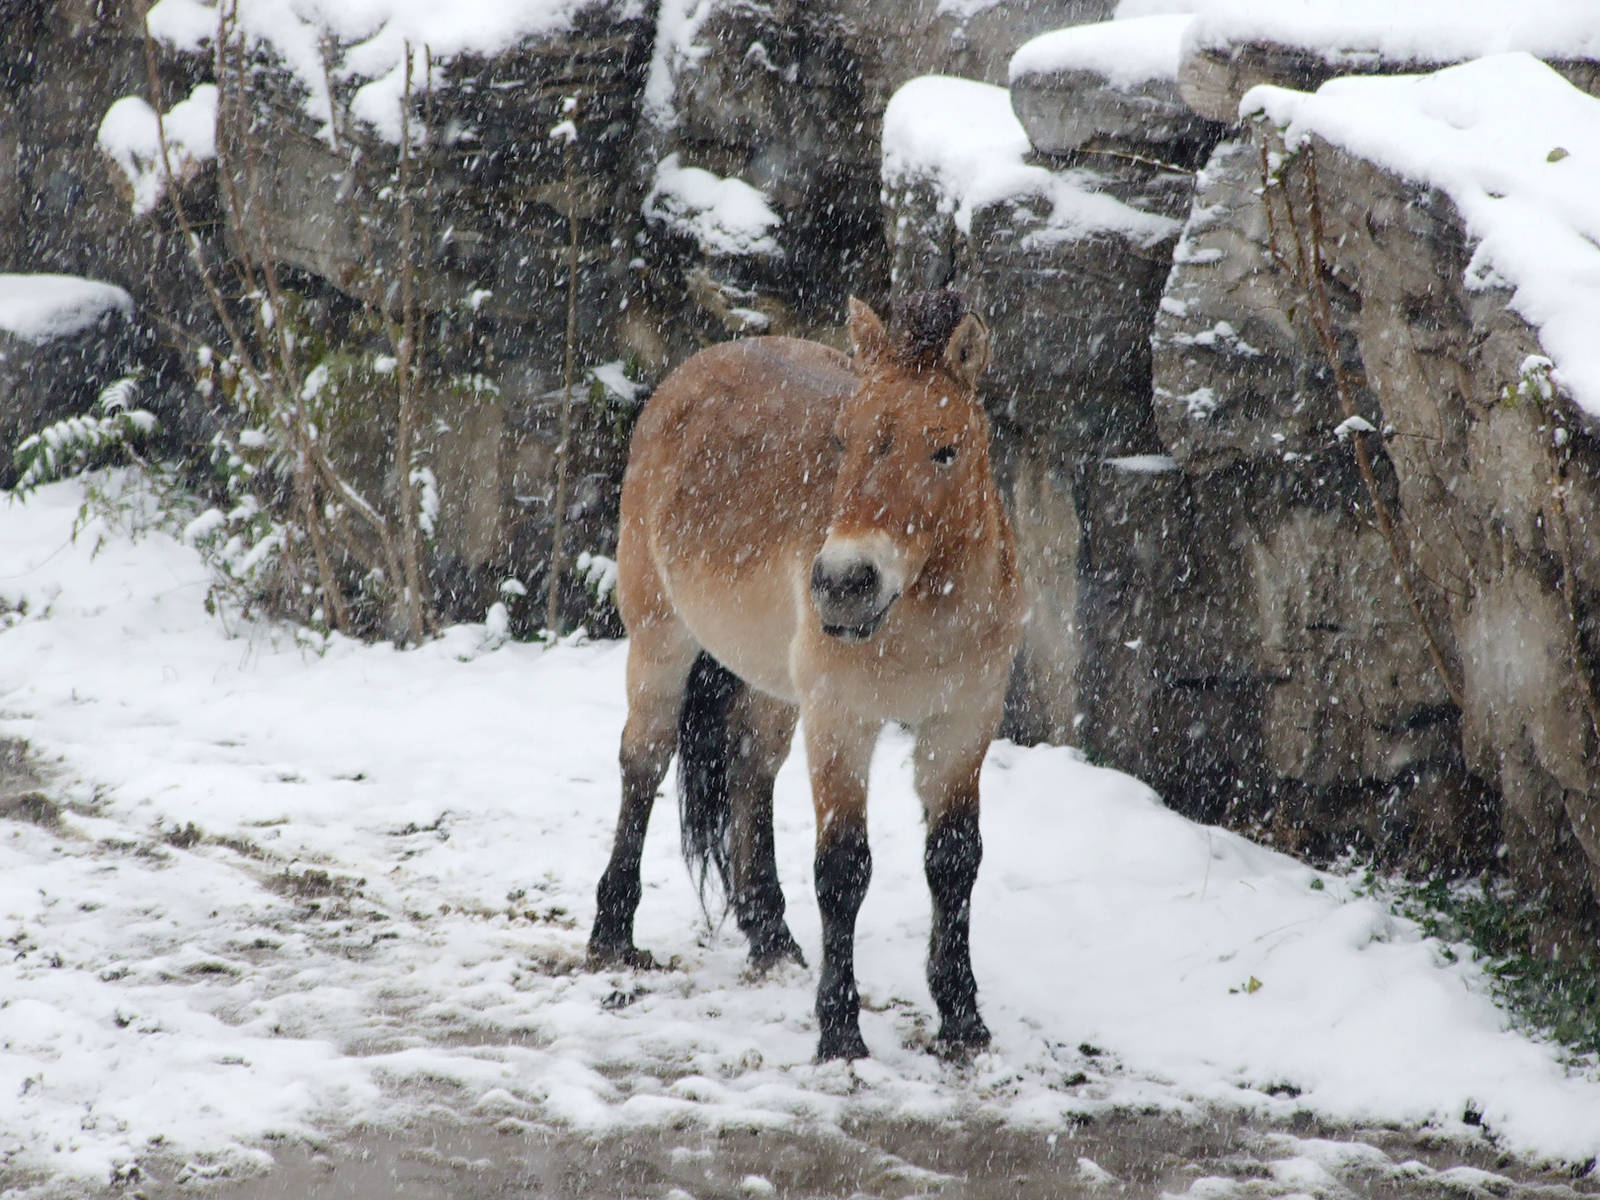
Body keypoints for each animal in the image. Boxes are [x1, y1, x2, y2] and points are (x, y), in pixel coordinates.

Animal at [586, 290, 1023, 1061]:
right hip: (661, 642)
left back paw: (771, 938)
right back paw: (612, 934)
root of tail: (690, 373)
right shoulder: (842, 719)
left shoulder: (963, 723)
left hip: (770, 687)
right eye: (844, 440)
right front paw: (841, 1031)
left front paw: (963, 1018)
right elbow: (844, 868)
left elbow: (953, 859)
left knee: (748, 773)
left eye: (945, 448)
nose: (845, 584)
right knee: (643, 763)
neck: (927, 614)